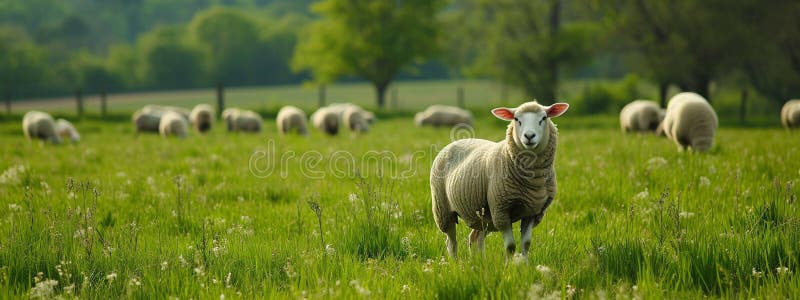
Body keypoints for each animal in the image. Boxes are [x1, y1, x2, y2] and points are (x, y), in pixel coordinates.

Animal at [432, 100, 568, 258]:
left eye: (544, 118)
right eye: (516, 119)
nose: (529, 136)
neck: (532, 182)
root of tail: (457, 140)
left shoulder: (532, 212)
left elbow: (526, 244)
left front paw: (525, 264)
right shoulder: (501, 210)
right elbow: (510, 246)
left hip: (482, 214)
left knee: (475, 238)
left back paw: (479, 261)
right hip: (443, 210)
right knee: (451, 242)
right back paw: (454, 262)